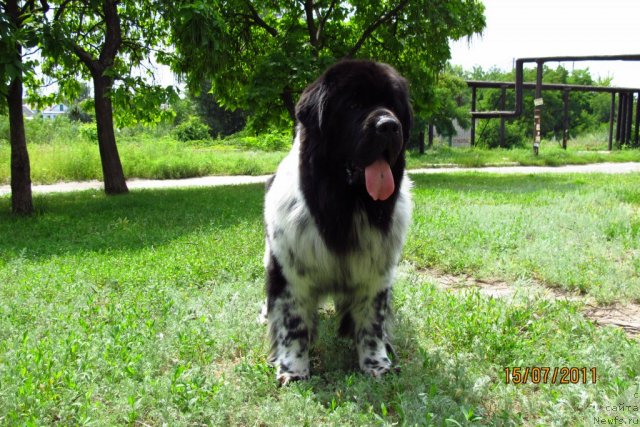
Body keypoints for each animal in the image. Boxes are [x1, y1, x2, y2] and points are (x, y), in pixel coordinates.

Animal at [262, 59, 412, 384]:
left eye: (393, 106)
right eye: (353, 104)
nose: (389, 125)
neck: (345, 205)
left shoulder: (376, 275)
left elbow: (372, 322)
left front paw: (376, 363)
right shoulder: (290, 273)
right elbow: (293, 323)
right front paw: (293, 369)